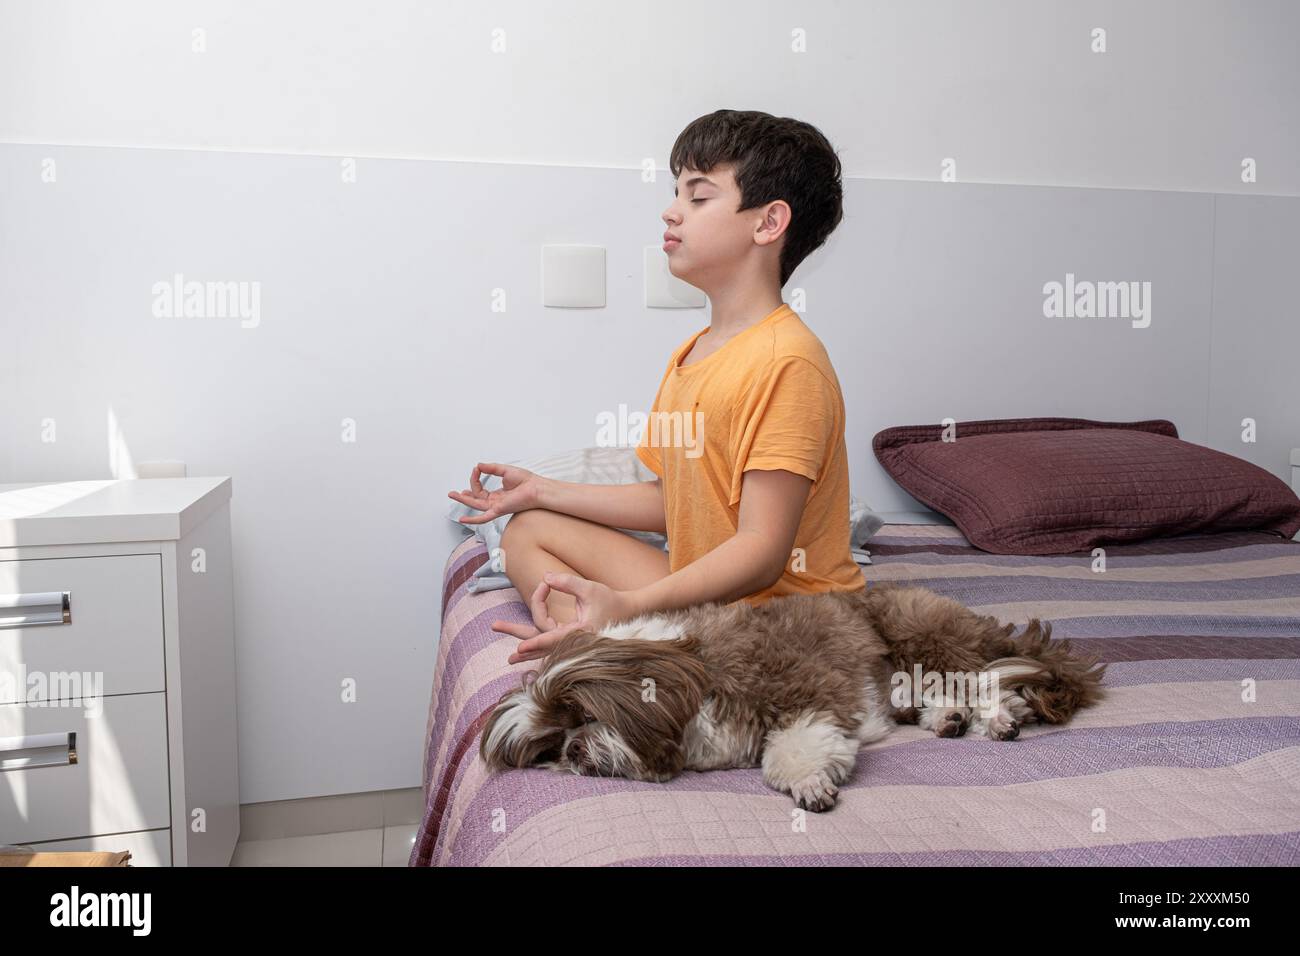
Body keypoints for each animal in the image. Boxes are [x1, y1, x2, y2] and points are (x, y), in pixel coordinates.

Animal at [480, 580, 1107, 811]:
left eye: (581, 714)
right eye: (548, 746)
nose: (573, 752)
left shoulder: (804, 688)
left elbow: (796, 746)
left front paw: (807, 782)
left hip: (919, 632)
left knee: (986, 681)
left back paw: (995, 718)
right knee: (943, 694)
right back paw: (949, 719)